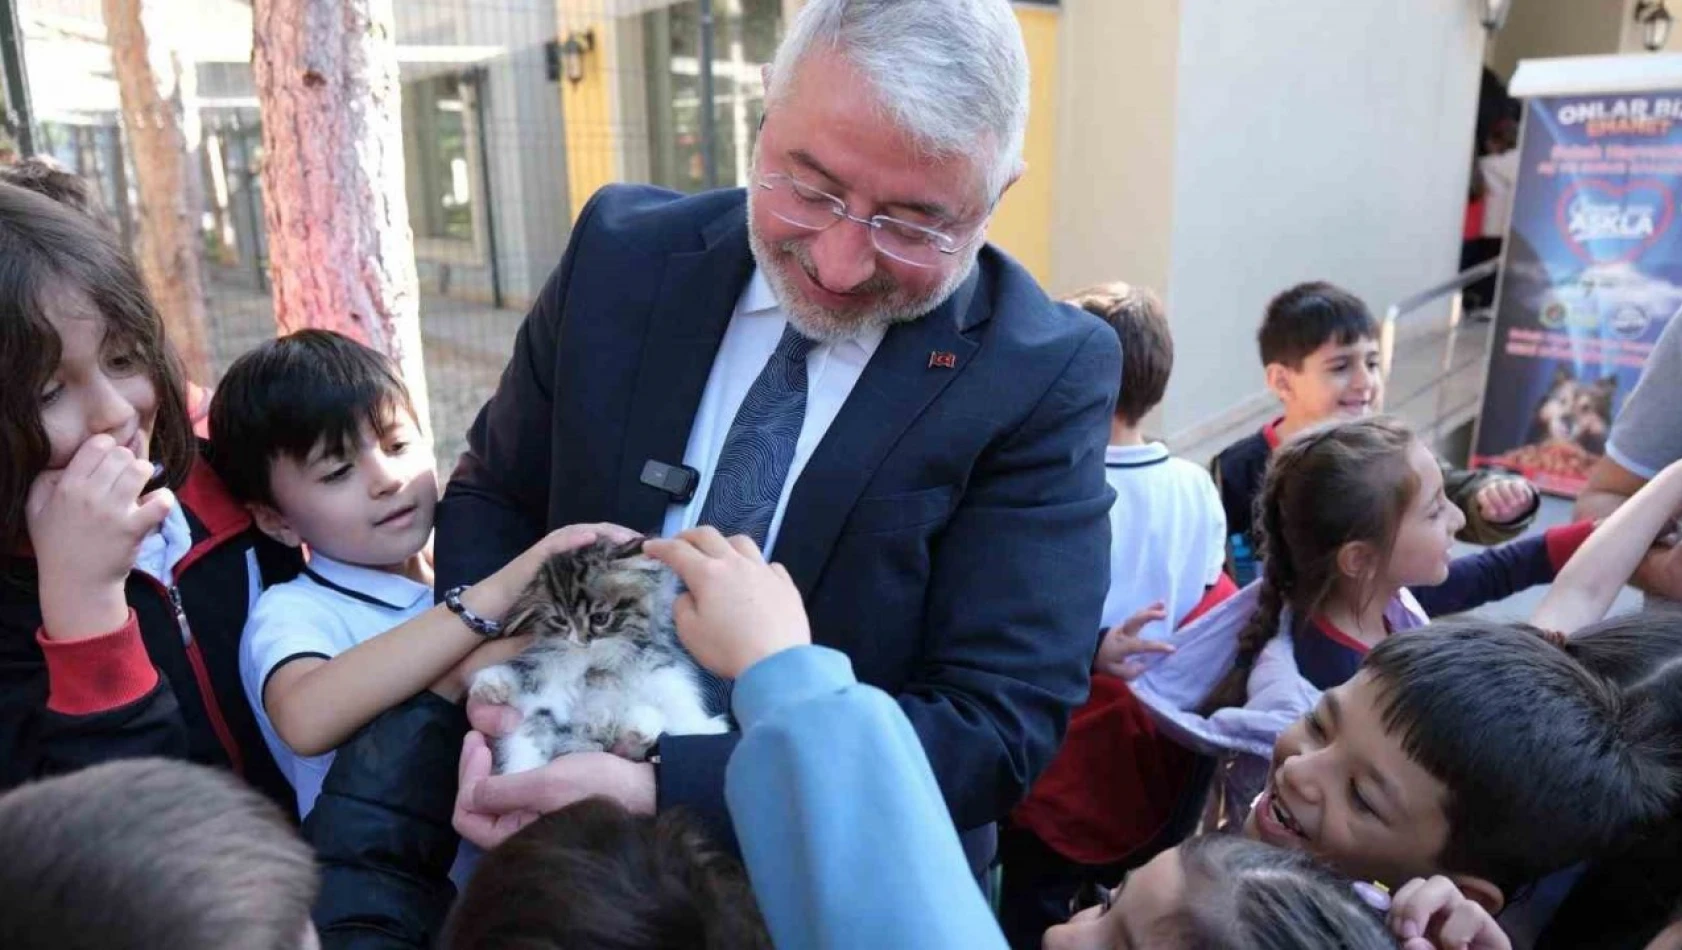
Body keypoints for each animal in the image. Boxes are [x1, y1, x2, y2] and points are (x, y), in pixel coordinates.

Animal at [467, 538, 723, 773]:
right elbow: (524, 673)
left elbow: (676, 698)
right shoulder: (546, 673)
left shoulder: (654, 659)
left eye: (600, 618)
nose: (581, 642)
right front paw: (491, 684)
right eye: (560, 620)